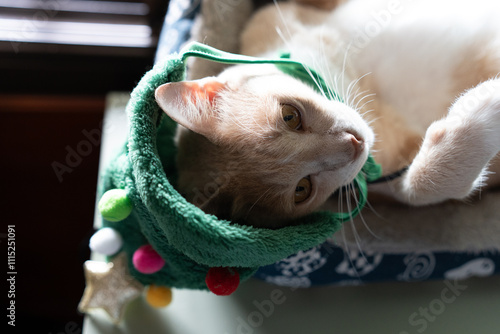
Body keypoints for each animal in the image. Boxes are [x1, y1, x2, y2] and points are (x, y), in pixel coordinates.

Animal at [154, 0, 498, 227]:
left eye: (290, 116)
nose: (354, 143)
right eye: (302, 189)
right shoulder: (390, 178)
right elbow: (423, 187)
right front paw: (486, 101)